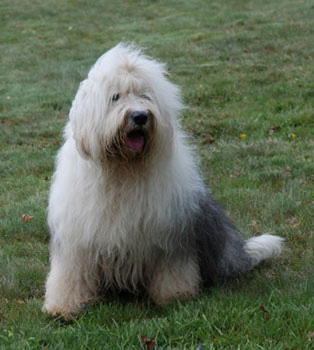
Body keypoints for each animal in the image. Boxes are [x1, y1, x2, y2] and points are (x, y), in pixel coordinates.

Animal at [42, 43, 284, 318]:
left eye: (146, 96)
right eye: (115, 97)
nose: (139, 116)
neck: (124, 169)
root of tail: (241, 251)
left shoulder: (170, 234)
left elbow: (172, 268)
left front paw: (175, 297)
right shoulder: (76, 237)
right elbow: (70, 272)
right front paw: (63, 306)